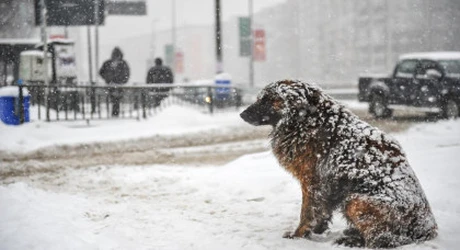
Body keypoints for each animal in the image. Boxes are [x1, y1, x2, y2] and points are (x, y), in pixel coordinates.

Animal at [239, 80, 436, 248]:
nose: (242, 114)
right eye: (260, 98)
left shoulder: (312, 181)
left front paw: (298, 235)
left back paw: (354, 240)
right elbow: (322, 211)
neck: (308, 120)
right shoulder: (325, 186)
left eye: (269, 100)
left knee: (382, 239)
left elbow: (307, 212)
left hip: (356, 201)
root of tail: (428, 227)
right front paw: (317, 231)